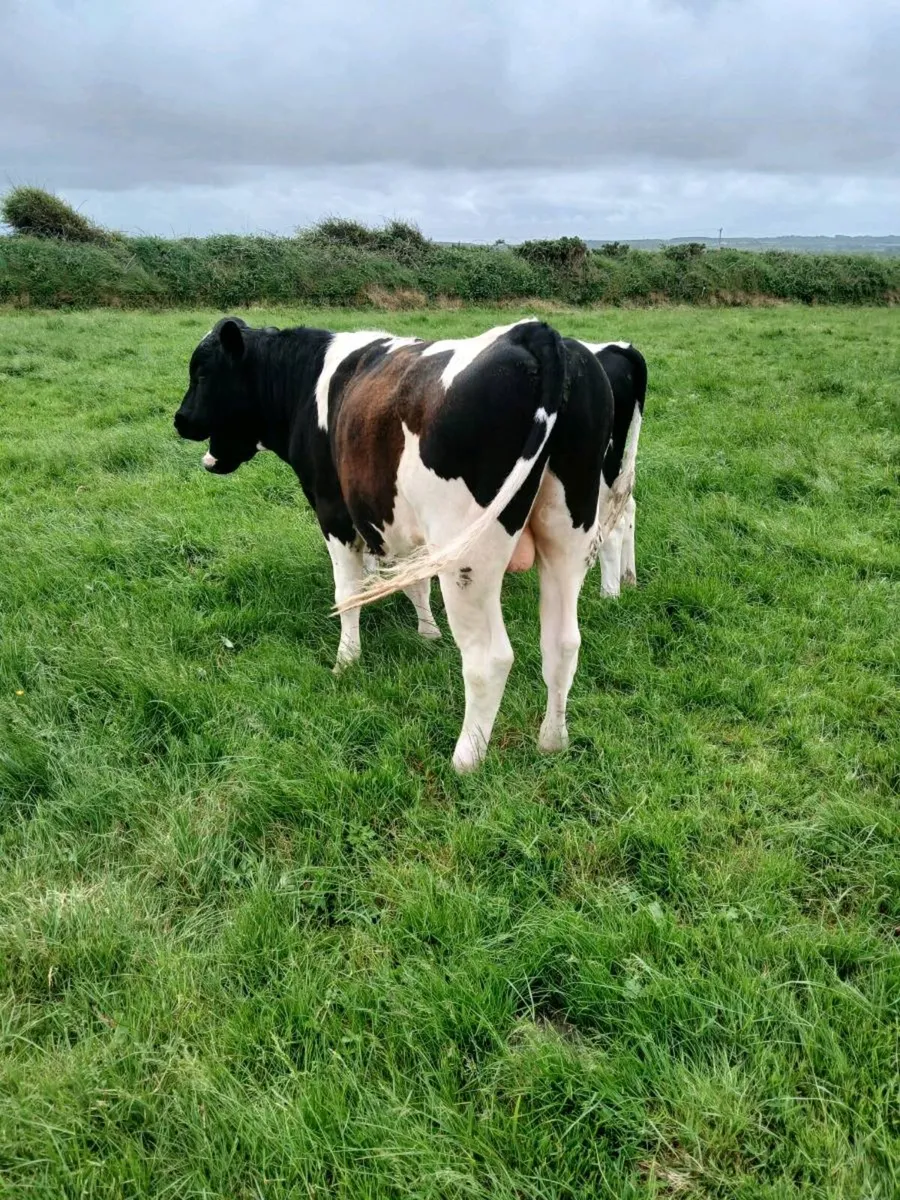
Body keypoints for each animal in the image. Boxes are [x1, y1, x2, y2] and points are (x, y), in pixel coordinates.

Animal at [174, 316, 615, 773]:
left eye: (202, 372)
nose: (180, 419)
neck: (305, 379)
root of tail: (535, 332)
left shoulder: (334, 512)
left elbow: (347, 593)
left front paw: (346, 660)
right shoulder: (402, 525)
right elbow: (414, 583)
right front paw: (428, 633)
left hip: (469, 555)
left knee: (489, 658)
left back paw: (465, 760)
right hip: (568, 532)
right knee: (563, 642)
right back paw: (553, 742)